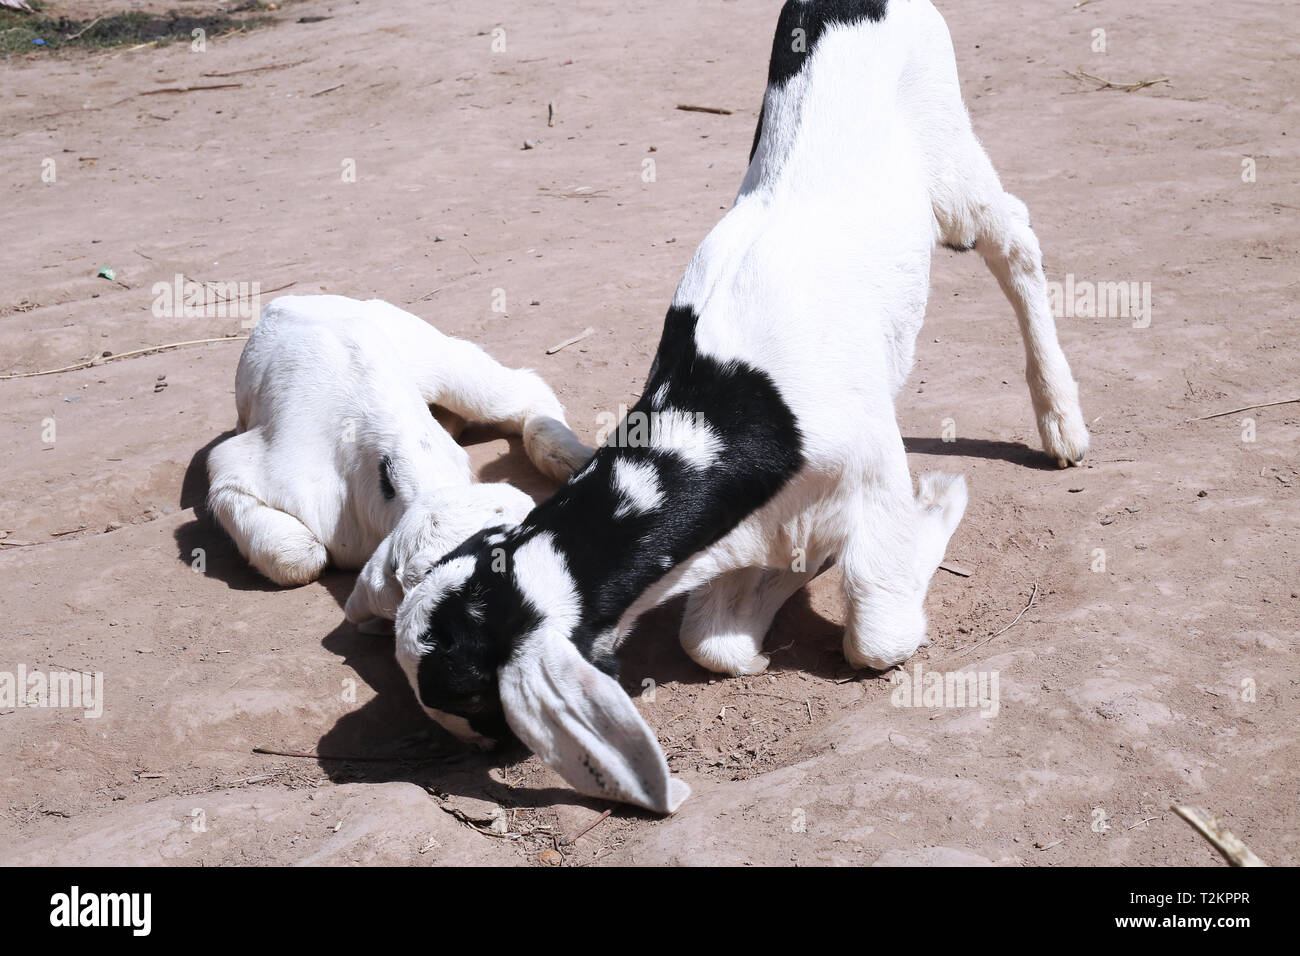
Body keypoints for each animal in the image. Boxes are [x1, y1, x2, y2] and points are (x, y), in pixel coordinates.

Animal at [391, 0, 1089, 814]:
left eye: (475, 702)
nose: (474, 758)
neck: (735, 409)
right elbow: (712, 644)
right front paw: (779, 595)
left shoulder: (877, 475)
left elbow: (877, 632)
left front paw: (940, 502)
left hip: (949, 150)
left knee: (1008, 233)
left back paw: (1061, 421)